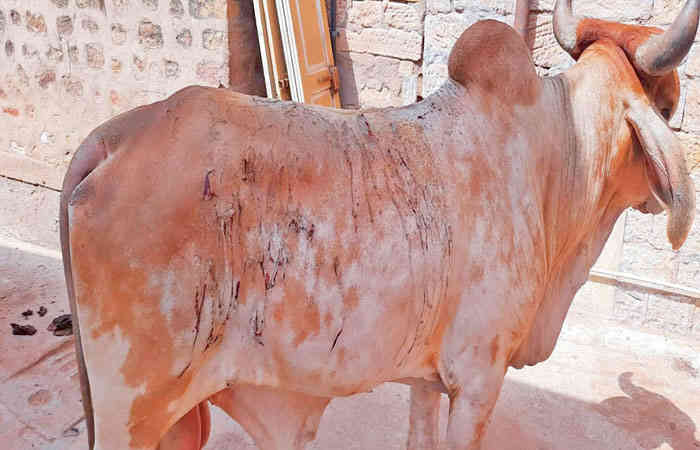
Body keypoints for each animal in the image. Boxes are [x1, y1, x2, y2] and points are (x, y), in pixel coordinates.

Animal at [59, 0, 697, 448]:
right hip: (133, 411)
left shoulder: (426, 379)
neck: (556, 155)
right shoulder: (478, 381)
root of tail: (115, 136)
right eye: (666, 108)